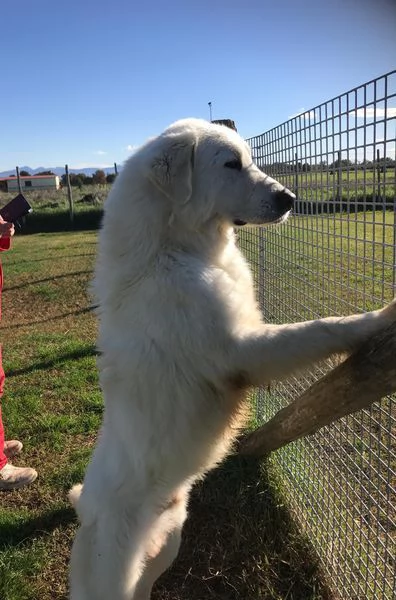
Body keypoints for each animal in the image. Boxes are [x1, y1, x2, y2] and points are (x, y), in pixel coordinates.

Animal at [69, 118, 394, 600]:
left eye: (250, 160)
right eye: (230, 164)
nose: (290, 199)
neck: (173, 250)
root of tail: (85, 509)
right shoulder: (242, 350)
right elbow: (320, 329)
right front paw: (379, 318)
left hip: (168, 542)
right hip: (114, 575)